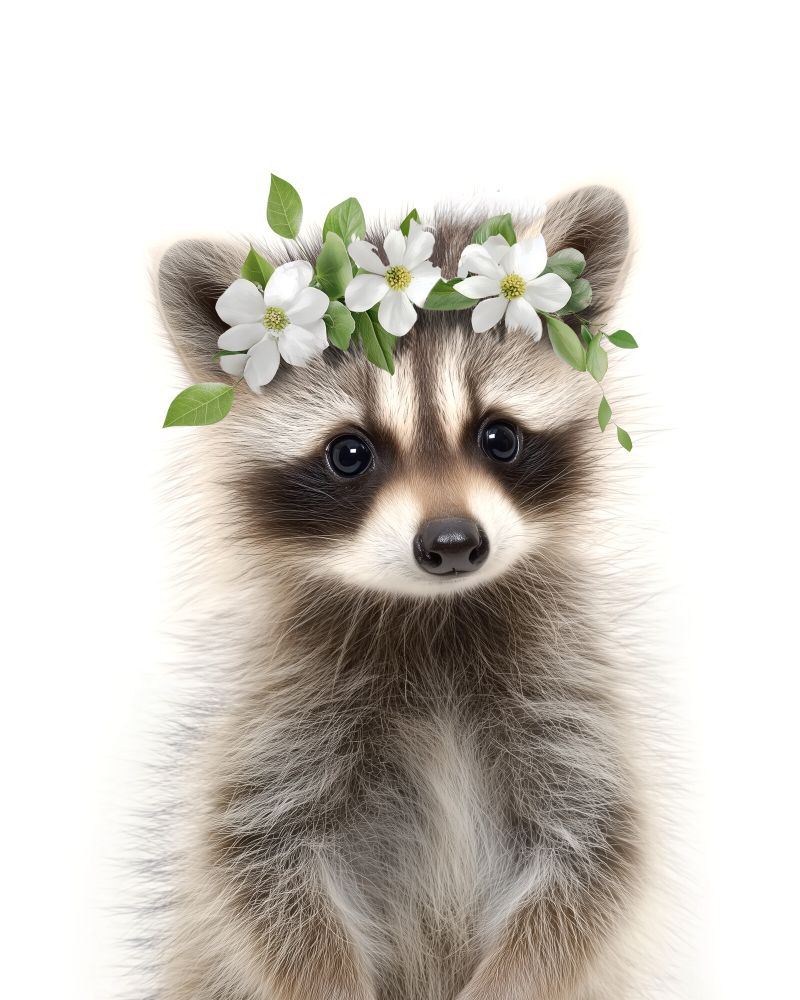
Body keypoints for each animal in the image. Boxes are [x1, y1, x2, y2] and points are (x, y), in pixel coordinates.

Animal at [155, 186, 651, 1000]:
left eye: (498, 438)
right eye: (350, 453)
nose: (452, 543)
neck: (434, 613)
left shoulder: (567, 694)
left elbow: (592, 857)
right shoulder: (283, 710)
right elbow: (260, 860)